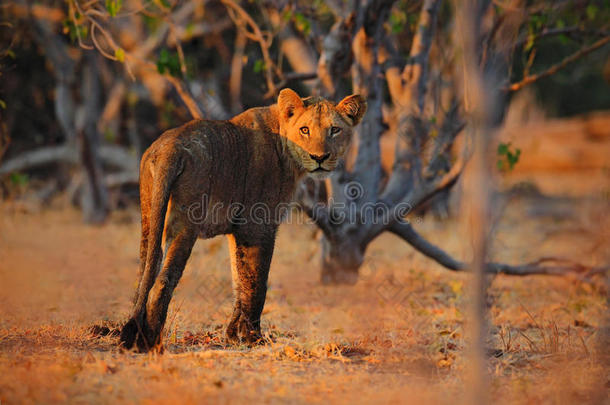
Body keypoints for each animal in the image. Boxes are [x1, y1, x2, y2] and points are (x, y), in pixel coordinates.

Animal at [120, 87, 366, 350]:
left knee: (145, 272)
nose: (319, 157)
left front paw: (231, 336)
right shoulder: (257, 225)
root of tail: (170, 147)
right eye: (305, 130)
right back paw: (151, 342)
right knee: (163, 280)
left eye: (335, 130)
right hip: (185, 223)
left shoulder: (235, 230)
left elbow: (239, 281)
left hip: (149, 216)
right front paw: (253, 338)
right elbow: (257, 284)